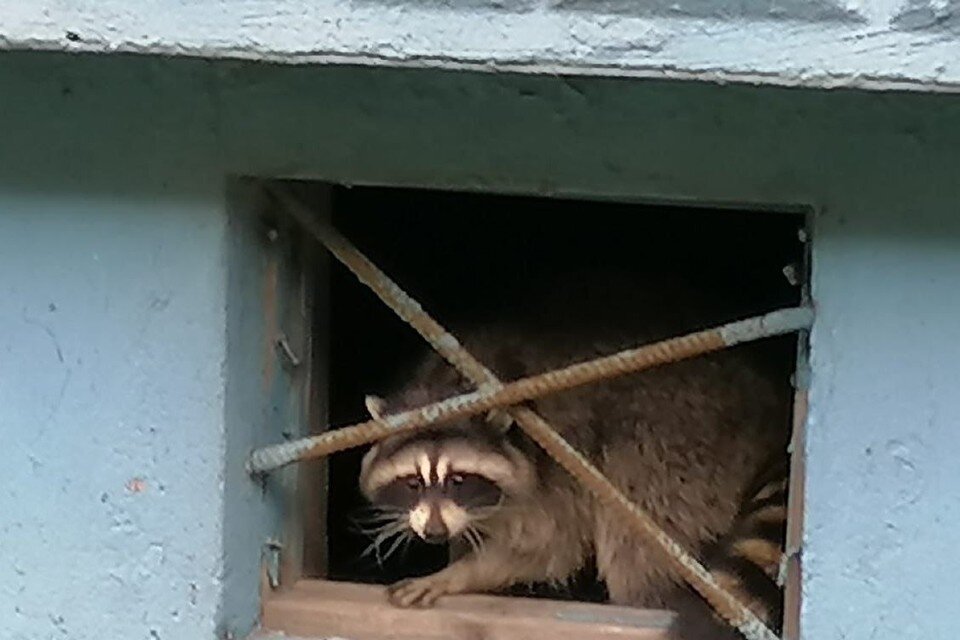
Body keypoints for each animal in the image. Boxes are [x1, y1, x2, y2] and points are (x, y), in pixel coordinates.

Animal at [356, 272, 792, 636]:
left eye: (459, 479)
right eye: (413, 483)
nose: (433, 533)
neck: (444, 386)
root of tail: (771, 403)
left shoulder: (558, 456)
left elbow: (550, 546)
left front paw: (460, 575)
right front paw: (458, 551)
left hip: (682, 437)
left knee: (637, 527)